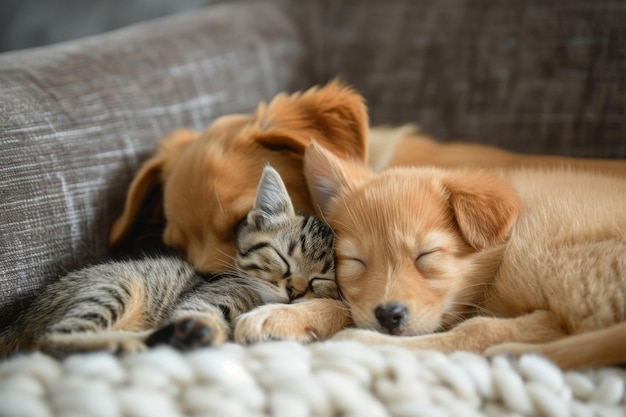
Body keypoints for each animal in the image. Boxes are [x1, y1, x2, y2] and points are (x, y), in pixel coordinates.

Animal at [0, 164, 336, 356]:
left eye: (320, 279)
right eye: (282, 258)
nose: (295, 290)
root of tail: (18, 321)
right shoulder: (203, 299)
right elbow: (201, 314)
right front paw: (203, 330)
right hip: (116, 285)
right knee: (50, 340)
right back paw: (133, 342)